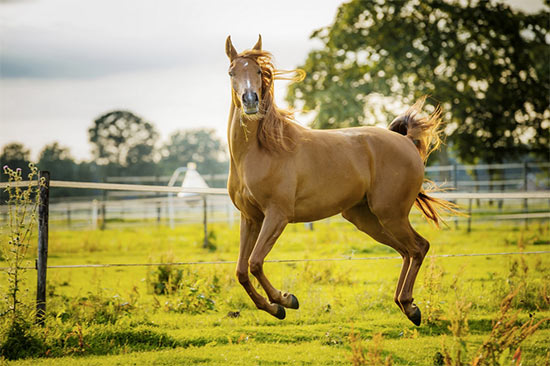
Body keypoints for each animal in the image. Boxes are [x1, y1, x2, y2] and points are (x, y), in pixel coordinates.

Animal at [224, 35, 458, 326]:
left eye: (258, 71)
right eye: (232, 72)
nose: (250, 100)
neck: (259, 150)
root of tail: (404, 141)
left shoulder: (277, 215)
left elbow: (255, 262)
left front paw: (286, 300)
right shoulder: (251, 218)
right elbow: (241, 271)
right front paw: (275, 308)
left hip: (390, 214)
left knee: (418, 247)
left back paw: (410, 307)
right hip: (366, 219)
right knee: (407, 250)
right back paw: (406, 305)